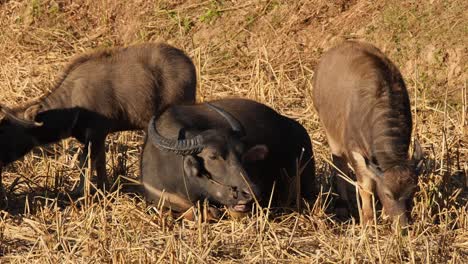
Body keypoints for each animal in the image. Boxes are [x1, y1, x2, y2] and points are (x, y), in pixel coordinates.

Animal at [312, 40, 422, 227]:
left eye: (412, 191)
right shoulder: (355, 151)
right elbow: (366, 186)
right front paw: (368, 219)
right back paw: (342, 204)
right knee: (339, 166)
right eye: (388, 194)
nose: (403, 225)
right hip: (330, 133)